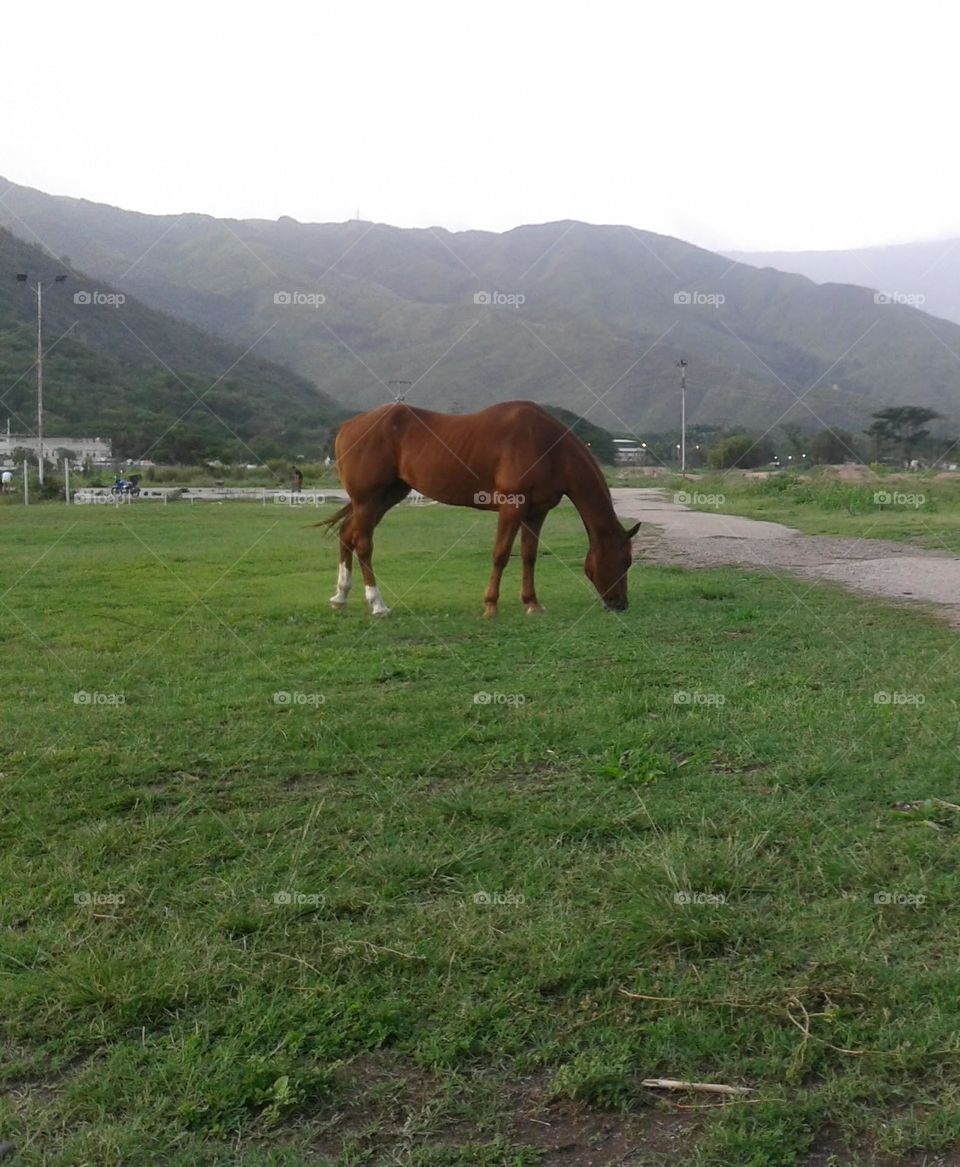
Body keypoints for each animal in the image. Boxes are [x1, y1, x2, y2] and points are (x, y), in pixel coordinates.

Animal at [321, 401, 639, 616]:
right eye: (625, 561)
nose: (621, 604)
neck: (547, 447)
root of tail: (348, 427)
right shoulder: (512, 507)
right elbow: (501, 555)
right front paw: (490, 605)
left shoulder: (536, 513)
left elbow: (529, 556)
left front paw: (532, 603)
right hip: (368, 499)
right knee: (363, 544)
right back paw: (377, 604)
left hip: (384, 497)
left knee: (347, 535)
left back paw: (340, 597)